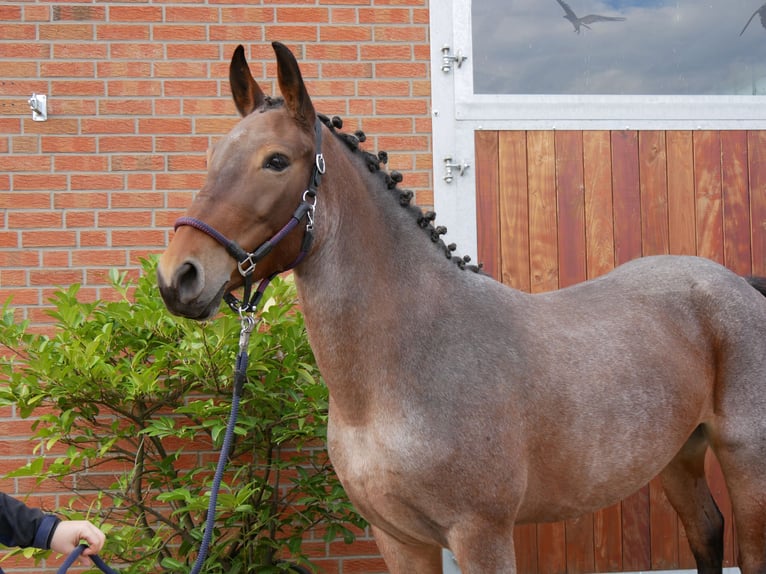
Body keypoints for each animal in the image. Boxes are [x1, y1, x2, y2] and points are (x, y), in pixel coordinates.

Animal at [156, 41, 766, 574]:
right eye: (213, 155)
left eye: (277, 161)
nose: (177, 277)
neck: (404, 366)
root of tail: (737, 285)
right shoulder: (399, 539)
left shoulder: (481, 534)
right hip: (678, 455)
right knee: (706, 532)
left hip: (746, 463)